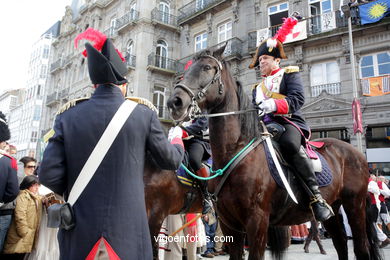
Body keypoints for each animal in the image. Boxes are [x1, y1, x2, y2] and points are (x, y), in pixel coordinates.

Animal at [166, 46, 382, 260]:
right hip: (334, 209)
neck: (234, 151)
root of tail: (356, 153)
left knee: (361, 247)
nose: (174, 102)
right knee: (340, 242)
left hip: (355, 206)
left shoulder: (257, 222)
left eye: (207, 67)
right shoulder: (230, 224)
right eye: (186, 71)